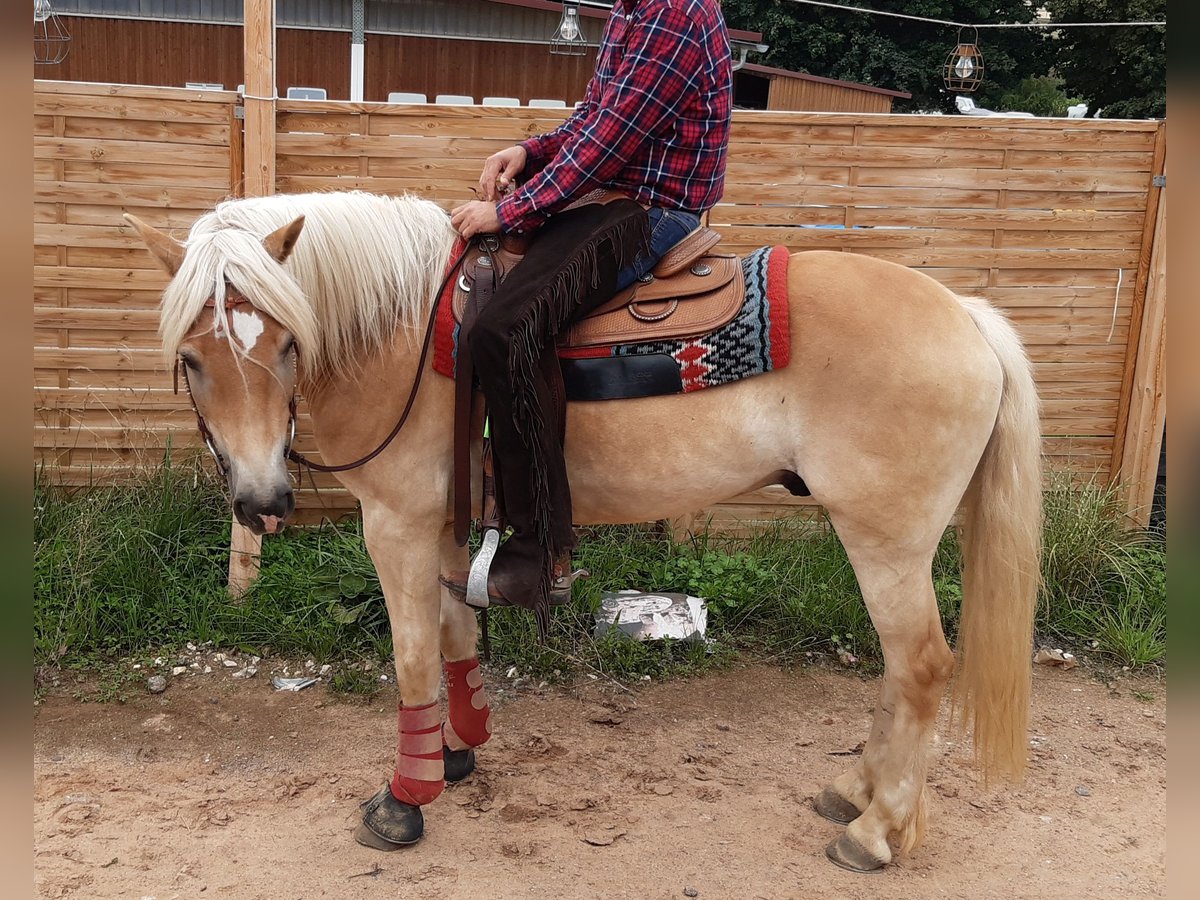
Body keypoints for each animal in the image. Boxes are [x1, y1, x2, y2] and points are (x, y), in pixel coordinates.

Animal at [124, 190, 1041, 873]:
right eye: (193, 359)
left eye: (285, 343)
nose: (263, 499)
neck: (402, 332)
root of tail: (965, 315)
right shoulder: (446, 523)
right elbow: (457, 636)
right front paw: (457, 754)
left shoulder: (395, 522)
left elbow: (413, 656)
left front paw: (404, 800)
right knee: (898, 667)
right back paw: (857, 794)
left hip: (886, 539)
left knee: (920, 665)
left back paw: (875, 833)